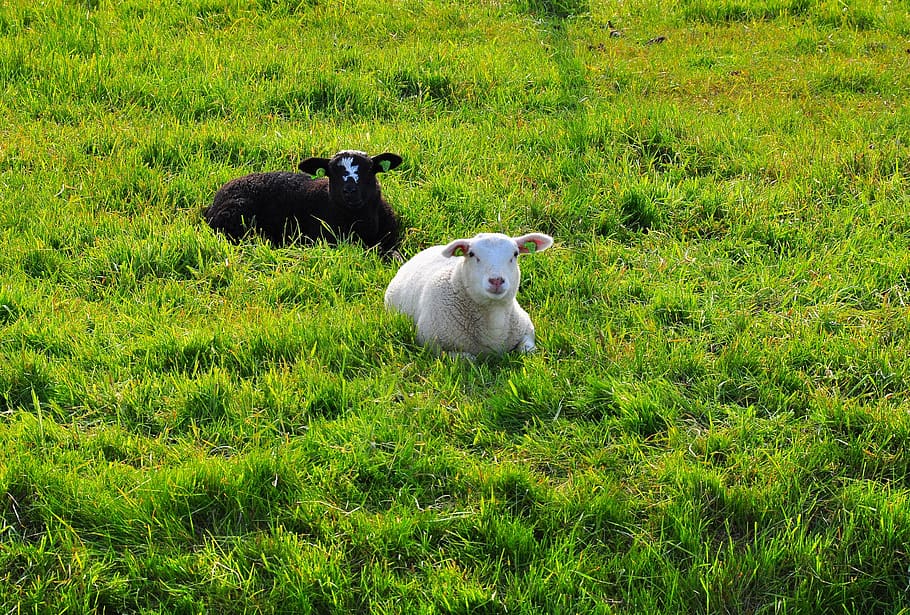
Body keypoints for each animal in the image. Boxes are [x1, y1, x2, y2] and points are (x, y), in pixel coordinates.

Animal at [384, 232, 554, 357]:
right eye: (471, 254)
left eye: (515, 254)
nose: (496, 280)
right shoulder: (430, 344)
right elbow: (468, 358)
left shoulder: (527, 329)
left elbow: (528, 351)